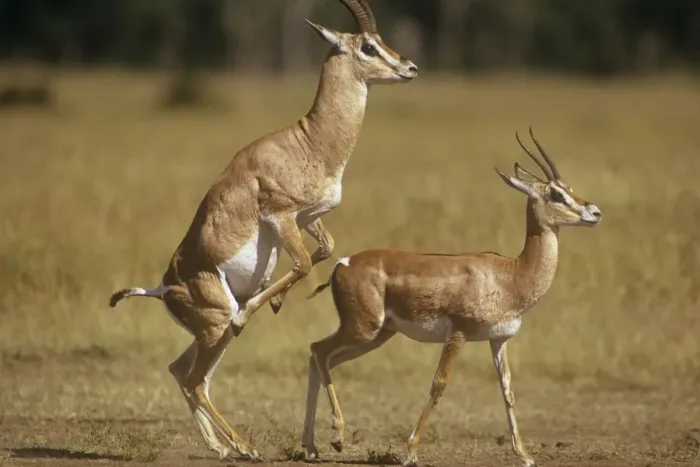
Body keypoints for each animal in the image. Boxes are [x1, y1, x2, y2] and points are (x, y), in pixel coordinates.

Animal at [108, 0, 417, 461]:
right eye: (368, 46)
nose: (410, 67)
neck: (310, 142)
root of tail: (163, 288)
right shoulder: (281, 216)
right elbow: (304, 263)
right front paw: (259, 307)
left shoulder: (308, 217)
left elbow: (325, 250)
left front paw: (273, 302)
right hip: (217, 326)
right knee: (196, 379)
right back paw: (244, 447)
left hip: (210, 337)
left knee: (182, 372)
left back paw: (221, 448)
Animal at [301, 129, 602, 467]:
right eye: (555, 194)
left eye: (569, 188)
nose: (595, 213)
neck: (511, 275)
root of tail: (343, 263)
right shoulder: (458, 334)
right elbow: (439, 385)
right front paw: (411, 452)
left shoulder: (498, 340)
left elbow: (507, 390)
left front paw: (524, 455)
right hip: (363, 329)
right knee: (319, 350)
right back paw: (336, 437)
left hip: (377, 335)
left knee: (321, 357)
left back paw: (312, 446)